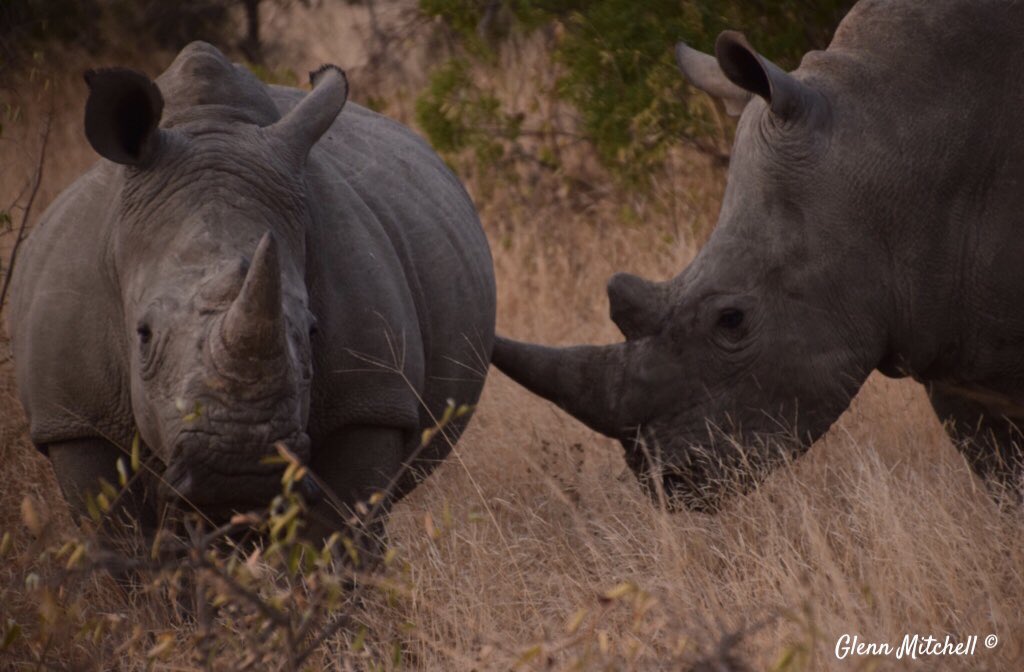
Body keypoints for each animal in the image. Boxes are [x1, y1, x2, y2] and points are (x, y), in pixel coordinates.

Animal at [8, 42, 496, 537]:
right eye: (142, 335)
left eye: (313, 331)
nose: (236, 470)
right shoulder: (75, 417)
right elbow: (119, 535)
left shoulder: (370, 404)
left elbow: (340, 531)